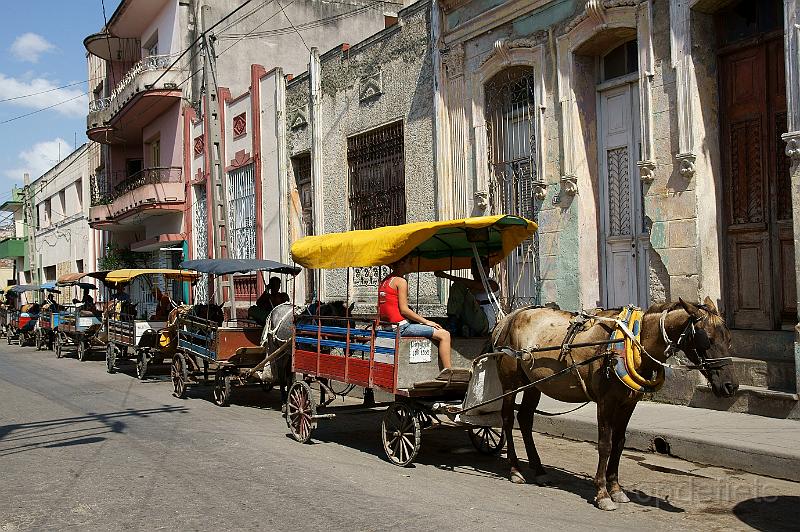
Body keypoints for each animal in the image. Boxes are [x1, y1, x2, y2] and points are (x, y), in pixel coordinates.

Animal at [490, 300, 740, 512]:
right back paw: (515, 470)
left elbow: (619, 443)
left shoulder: (628, 403)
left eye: (729, 339)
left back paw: (540, 471)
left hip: (534, 384)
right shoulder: (605, 402)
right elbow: (605, 445)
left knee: (525, 419)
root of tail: (510, 317)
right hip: (510, 382)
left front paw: (616, 489)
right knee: (508, 419)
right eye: (706, 339)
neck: (631, 342)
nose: (731, 386)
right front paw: (602, 494)